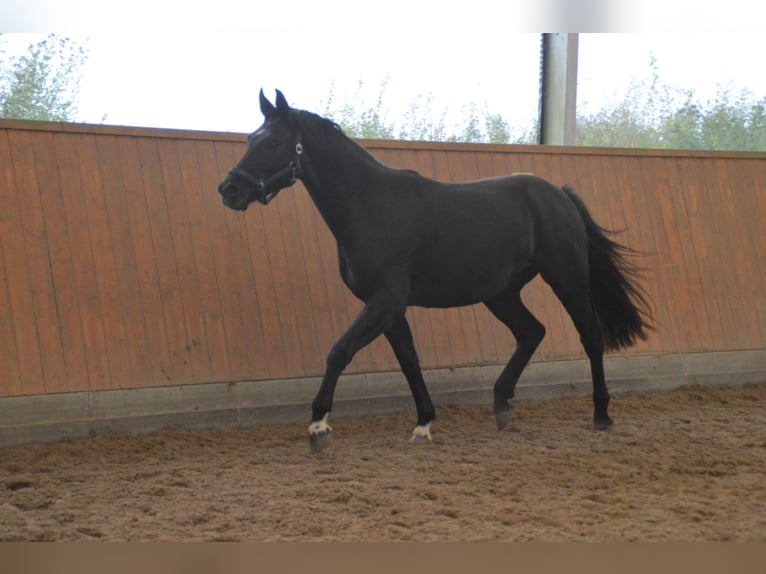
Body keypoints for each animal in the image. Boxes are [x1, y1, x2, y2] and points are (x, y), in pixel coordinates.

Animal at [218, 90, 652, 451]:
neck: (370, 205)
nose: (229, 190)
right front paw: (424, 423)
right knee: (532, 332)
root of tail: (557, 194)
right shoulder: (390, 309)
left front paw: (319, 426)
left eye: (272, 142)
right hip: (500, 293)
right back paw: (502, 405)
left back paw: (601, 414)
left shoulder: (385, 302)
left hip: (567, 279)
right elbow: (409, 361)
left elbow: (339, 352)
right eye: (250, 140)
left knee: (590, 335)